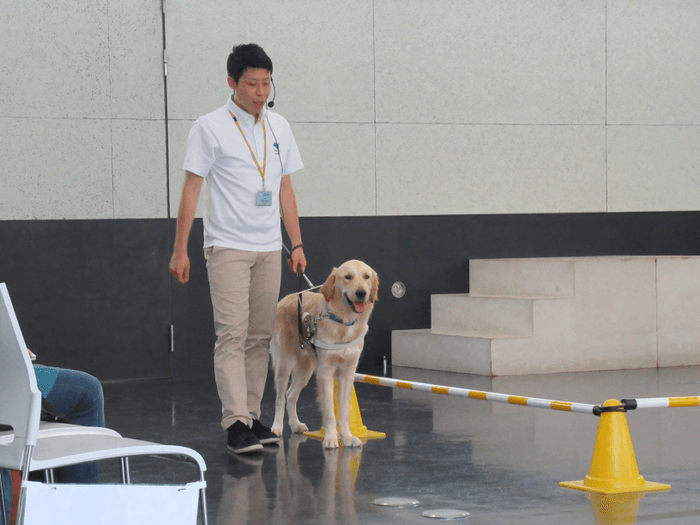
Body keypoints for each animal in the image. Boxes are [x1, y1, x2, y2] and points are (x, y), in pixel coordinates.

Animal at [268, 260, 378, 448]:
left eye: (366, 277)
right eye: (347, 277)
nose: (361, 293)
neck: (343, 322)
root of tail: (286, 298)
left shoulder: (348, 371)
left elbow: (344, 411)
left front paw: (347, 437)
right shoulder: (325, 371)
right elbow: (329, 411)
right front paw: (331, 438)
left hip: (306, 369)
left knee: (291, 395)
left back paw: (295, 424)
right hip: (284, 363)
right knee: (281, 398)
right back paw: (276, 427)